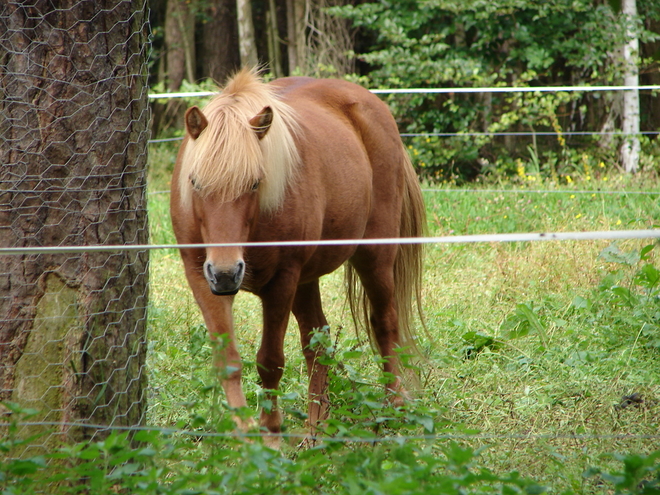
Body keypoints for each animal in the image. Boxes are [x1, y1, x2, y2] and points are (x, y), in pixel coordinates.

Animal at [170, 69, 426, 446]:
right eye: (195, 183)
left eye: (255, 183)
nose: (228, 274)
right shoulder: (202, 278)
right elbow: (229, 361)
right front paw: (246, 436)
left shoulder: (282, 280)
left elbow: (270, 362)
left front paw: (271, 436)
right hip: (307, 279)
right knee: (316, 342)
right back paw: (317, 427)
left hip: (374, 256)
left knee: (385, 324)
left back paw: (394, 408)